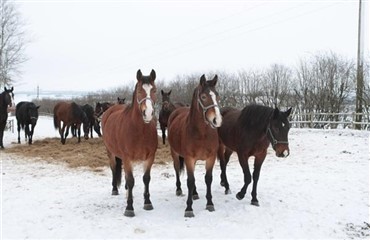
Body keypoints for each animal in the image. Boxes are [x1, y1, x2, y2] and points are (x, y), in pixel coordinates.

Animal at [101, 69, 158, 218]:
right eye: (139, 90)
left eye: (154, 90)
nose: (148, 113)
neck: (140, 130)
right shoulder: (127, 158)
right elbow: (131, 180)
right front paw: (129, 208)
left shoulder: (150, 157)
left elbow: (146, 178)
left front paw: (147, 202)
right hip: (110, 152)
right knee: (114, 169)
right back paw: (115, 189)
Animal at [168, 74, 223, 218]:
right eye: (203, 97)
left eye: (217, 95)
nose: (217, 120)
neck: (201, 133)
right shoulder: (189, 159)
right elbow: (190, 181)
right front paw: (188, 208)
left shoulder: (211, 158)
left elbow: (208, 179)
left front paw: (210, 204)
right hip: (175, 153)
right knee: (177, 169)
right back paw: (179, 189)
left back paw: (195, 193)